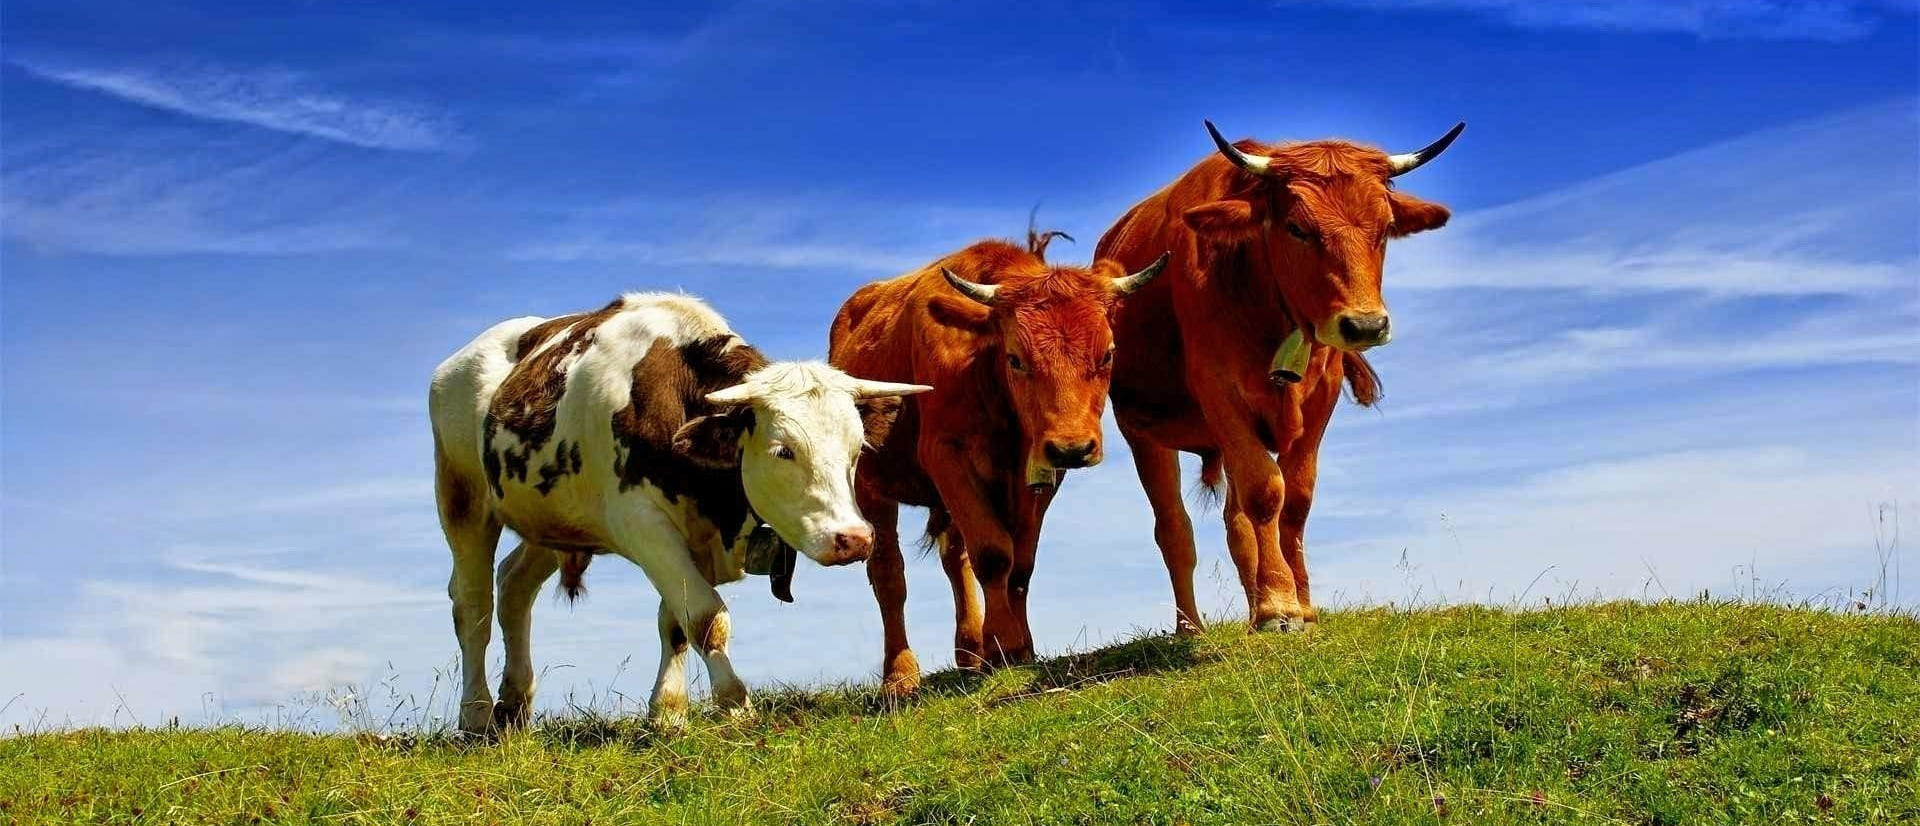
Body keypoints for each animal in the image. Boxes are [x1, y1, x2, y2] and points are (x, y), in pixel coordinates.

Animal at [429, 292, 930, 732]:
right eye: (782, 450)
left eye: (857, 449)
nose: (854, 538)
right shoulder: (643, 525)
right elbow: (706, 617)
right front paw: (734, 702)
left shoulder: (690, 538)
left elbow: (674, 622)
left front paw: (668, 711)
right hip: (462, 497)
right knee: (473, 605)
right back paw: (475, 714)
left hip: (552, 521)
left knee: (513, 587)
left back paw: (514, 705)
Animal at [829, 229, 1167, 695]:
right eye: (1016, 359)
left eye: (1108, 354)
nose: (1072, 447)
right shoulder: (945, 452)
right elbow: (993, 553)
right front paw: (1003, 644)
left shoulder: (1039, 472)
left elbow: (1020, 564)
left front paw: (1016, 647)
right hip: (871, 485)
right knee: (889, 575)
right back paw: (900, 675)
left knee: (955, 560)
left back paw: (970, 651)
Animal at [1097, 121, 1463, 634]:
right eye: (1297, 228)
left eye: (1385, 229)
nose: (1366, 325)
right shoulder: (1219, 392)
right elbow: (1266, 492)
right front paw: (1278, 606)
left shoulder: (1320, 399)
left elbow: (1295, 500)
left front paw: (1300, 605)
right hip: (1144, 433)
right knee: (1173, 529)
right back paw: (1191, 626)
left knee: (1236, 524)